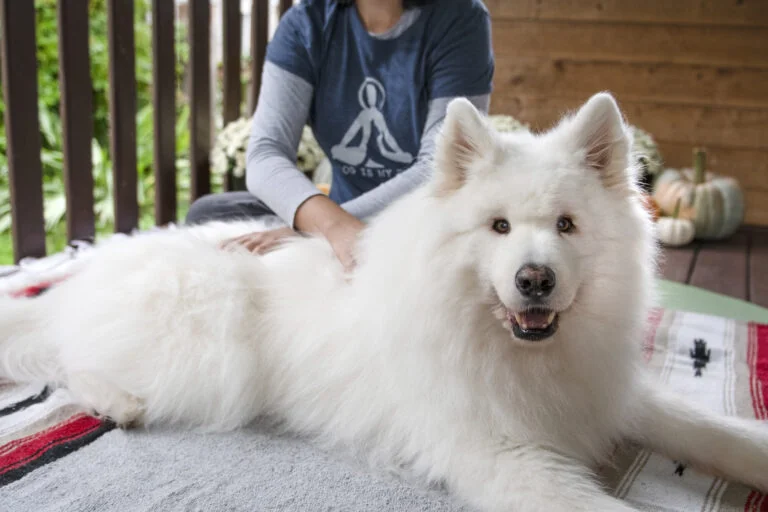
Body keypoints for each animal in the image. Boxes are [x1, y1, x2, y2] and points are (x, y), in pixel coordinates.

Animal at [1, 93, 766, 511]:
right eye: (498, 228)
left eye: (567, 226)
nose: (535, 281)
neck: (516, 351)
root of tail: (98, 267)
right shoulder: (496, 455)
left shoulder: (610, 395)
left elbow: (710, 431)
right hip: (209, 355)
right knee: (64, 360)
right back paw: (116, 402)